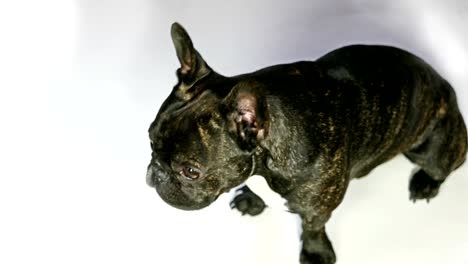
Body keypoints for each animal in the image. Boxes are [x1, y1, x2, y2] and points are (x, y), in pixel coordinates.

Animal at [145, 23, 464, 264]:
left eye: (190, 172)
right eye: (150, 139)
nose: (156, 171)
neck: (266, 161)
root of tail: (445, 85)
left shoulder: (317, 208)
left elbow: (312, 228)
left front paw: (315, 253)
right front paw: (252, 199)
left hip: (432, 147)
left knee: (444, 165)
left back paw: (426, 183)